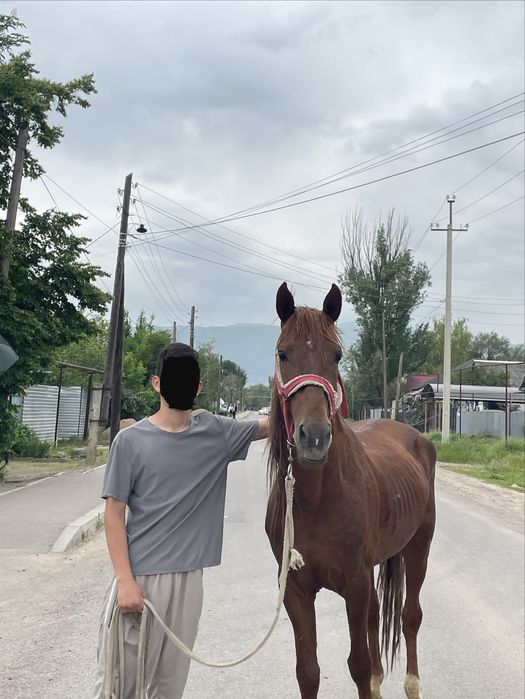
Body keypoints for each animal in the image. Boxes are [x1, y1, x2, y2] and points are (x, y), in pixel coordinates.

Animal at [265, 282, 436, 699]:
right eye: (283, 353)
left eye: (337, 355)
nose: (314, 437)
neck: (316, 498)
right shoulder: (295, 590)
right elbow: (308, 671)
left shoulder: (355, 584)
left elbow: (357, 664)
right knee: (377, 619)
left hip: (418, 548)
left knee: (410, 617)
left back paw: (412, 684)